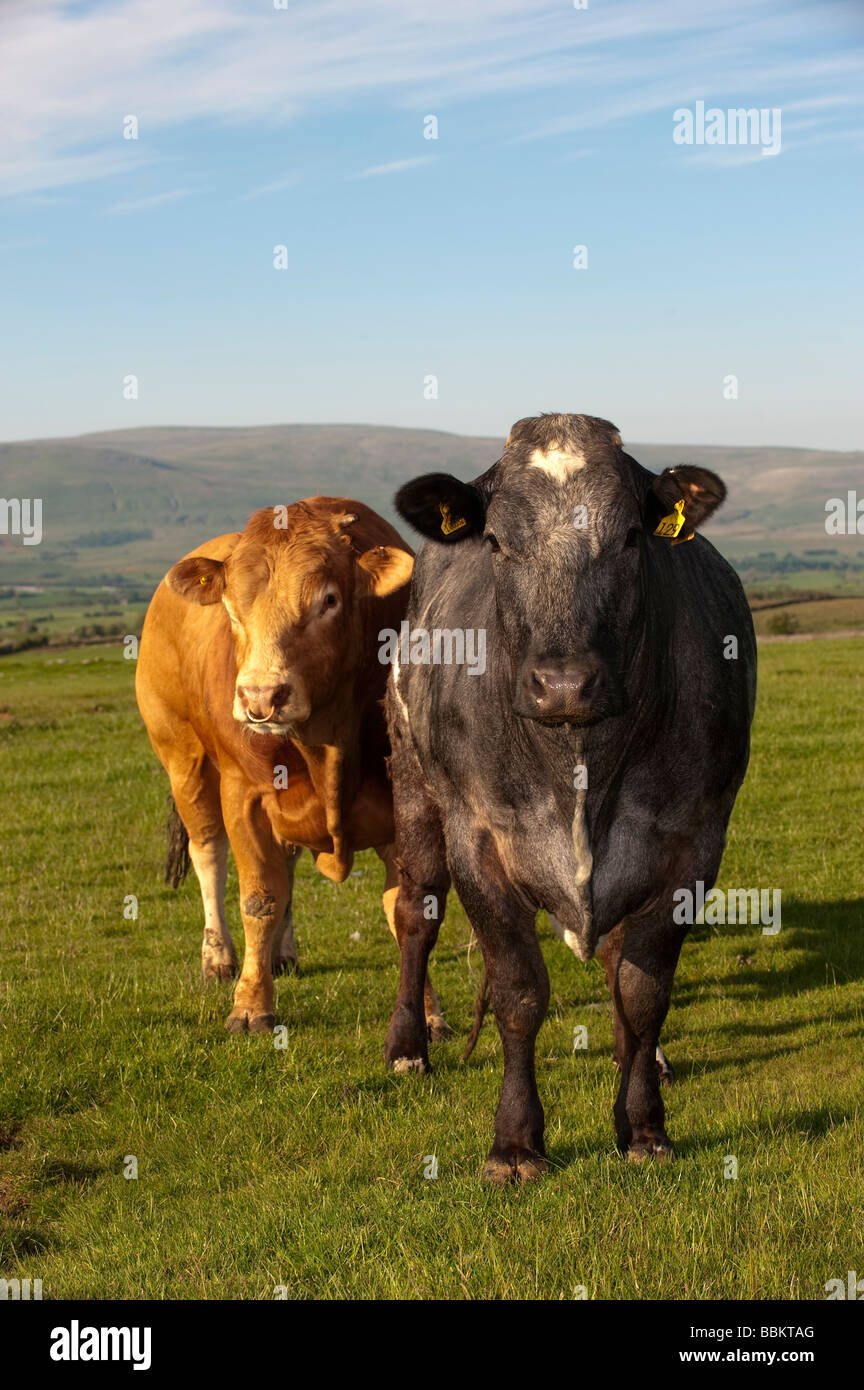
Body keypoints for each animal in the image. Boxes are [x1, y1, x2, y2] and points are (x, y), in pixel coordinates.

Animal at [136, 497, 450, 1039]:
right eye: (231, 609)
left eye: (328, 600)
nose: (261, 697)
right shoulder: (244, 795)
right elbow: (258, 899)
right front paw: (249, 1006)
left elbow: (405, 909)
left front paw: (425, 1014)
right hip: (183, 760)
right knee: (209, 854)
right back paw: (219, 957)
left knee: (286, 862)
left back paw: (281, 954)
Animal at [383, 414, 756, 1181]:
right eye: (497, 542)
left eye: (632, 538)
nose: (563, 684)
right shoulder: (480, 841)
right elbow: (520, 992)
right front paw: (515, 1143)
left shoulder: (693, 844)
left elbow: (642, 991)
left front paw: (643, 1125)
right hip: (414, 790)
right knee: (415, 912)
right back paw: (408, 1047)